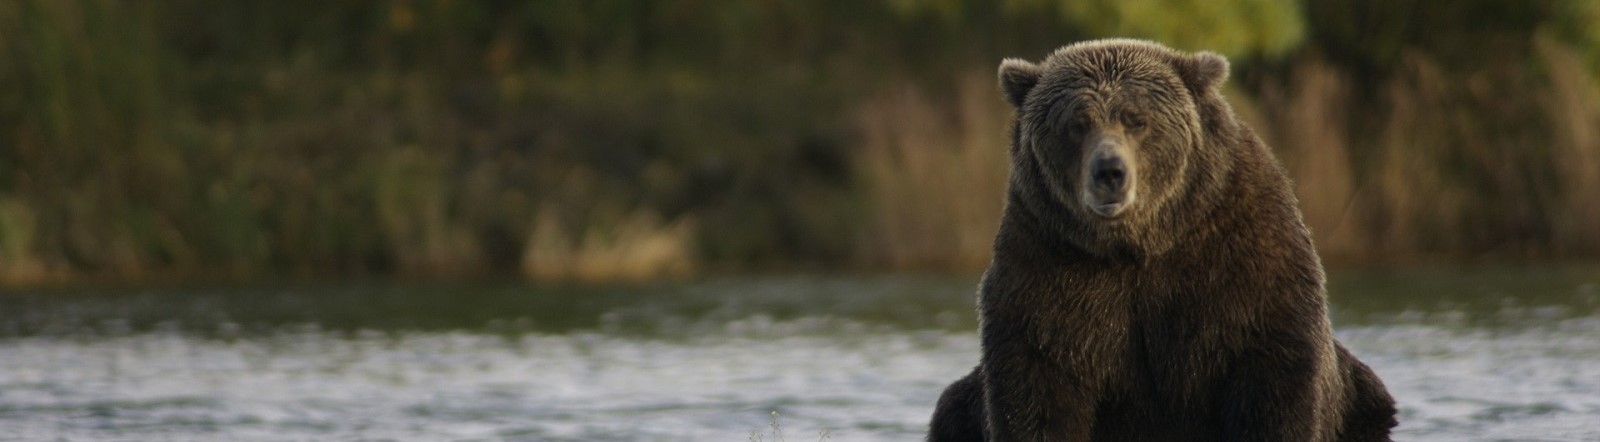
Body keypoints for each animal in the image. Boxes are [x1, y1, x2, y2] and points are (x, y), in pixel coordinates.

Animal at [928, 39, 1401, 438]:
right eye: (1077, 123)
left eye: (1137, 119)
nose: (1110, 172)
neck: (1139, 245)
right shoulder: (1048, 270)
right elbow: (1038, 386)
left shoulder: (1243, 260)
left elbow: (1274, 381)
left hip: (1363, 399)